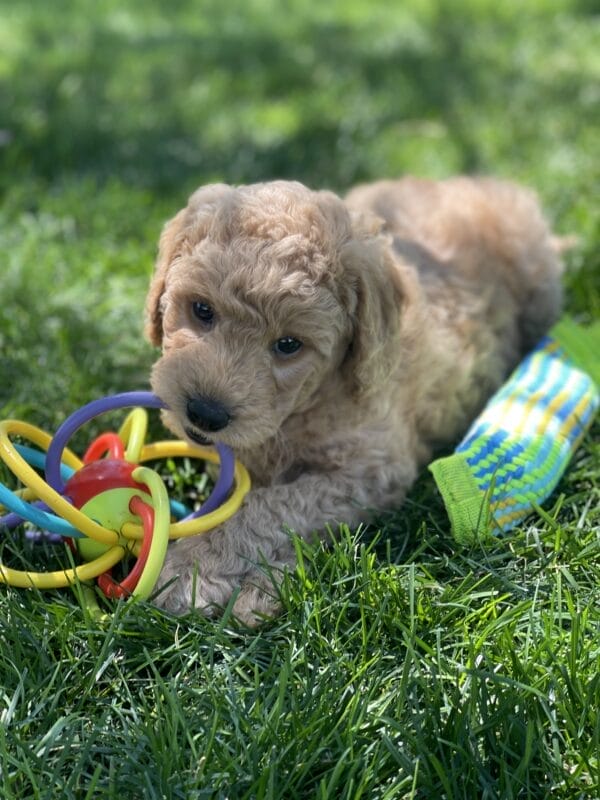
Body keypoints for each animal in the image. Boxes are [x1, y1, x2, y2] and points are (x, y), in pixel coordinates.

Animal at [145, 177, 564, 624]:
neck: (308, 402)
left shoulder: (371, 471)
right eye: (201, 309)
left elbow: (268, 506)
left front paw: (194, 568)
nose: (205, 413)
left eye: (289, 345)